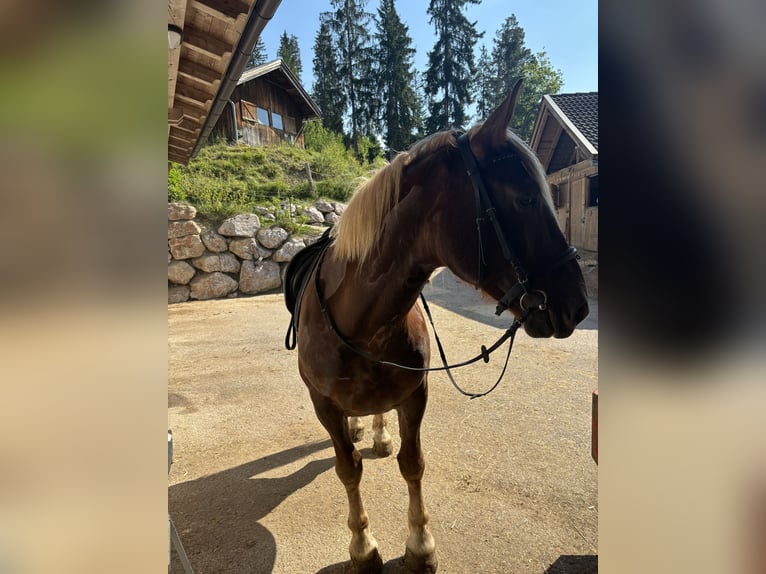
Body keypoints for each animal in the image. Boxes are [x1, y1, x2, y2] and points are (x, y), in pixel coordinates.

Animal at [285, 81, 589, 574]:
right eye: (525, 199)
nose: (578, 306)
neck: (362, 322)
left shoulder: (415, 395)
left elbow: (413, 464)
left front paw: (420, 545)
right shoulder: (323, 404)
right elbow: (348, 470)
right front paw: (362, 547)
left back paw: (377, 433)